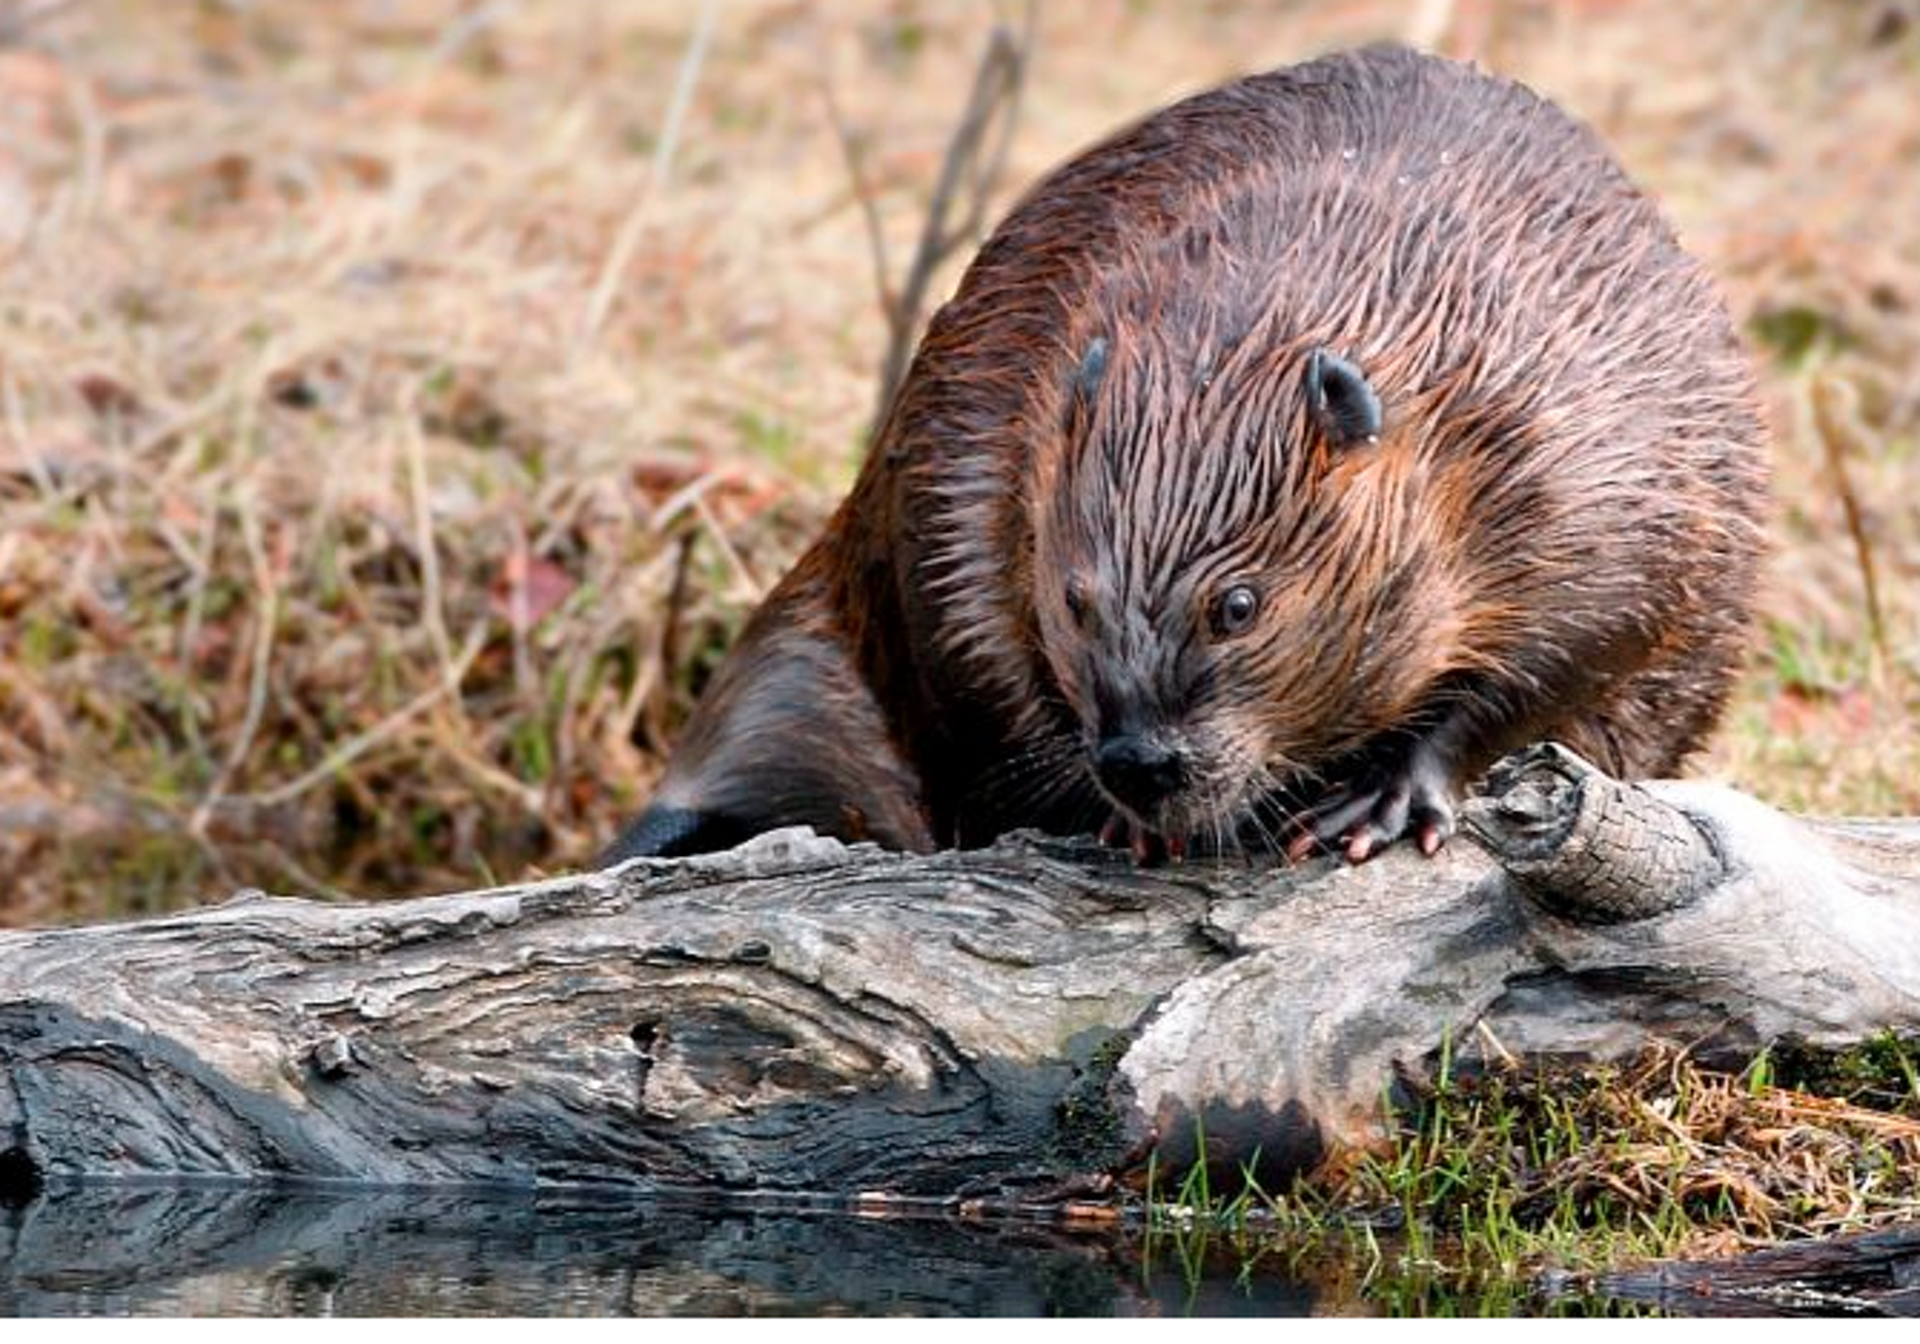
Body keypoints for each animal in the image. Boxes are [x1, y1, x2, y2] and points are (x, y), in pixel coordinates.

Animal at [606, 47, 1758, 867]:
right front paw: (1121, 819)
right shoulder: (985, 452)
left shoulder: (1593, 458)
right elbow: (983, 660)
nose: (1143, 763)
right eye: (1076, 600)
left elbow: (1587, 641)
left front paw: (1378, 802)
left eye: (1237, 606)